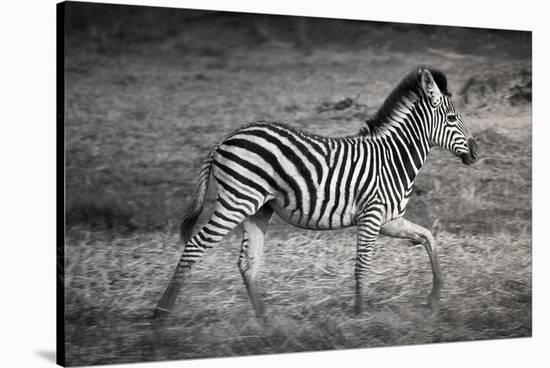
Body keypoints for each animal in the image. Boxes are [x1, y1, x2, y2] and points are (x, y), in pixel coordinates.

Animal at [153, 67, 480, 320]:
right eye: (452, 119)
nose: (477, 152)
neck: (393, 158)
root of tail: (225, 139)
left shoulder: (390, 220)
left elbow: (428, 237)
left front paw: (435, 298)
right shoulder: (372, 216)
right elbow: (362, 264)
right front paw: (359, 314)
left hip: (257, 208)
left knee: (247, 263)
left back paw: (265, 321)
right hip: (237, 202)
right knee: (196, 245)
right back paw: (161, 313)